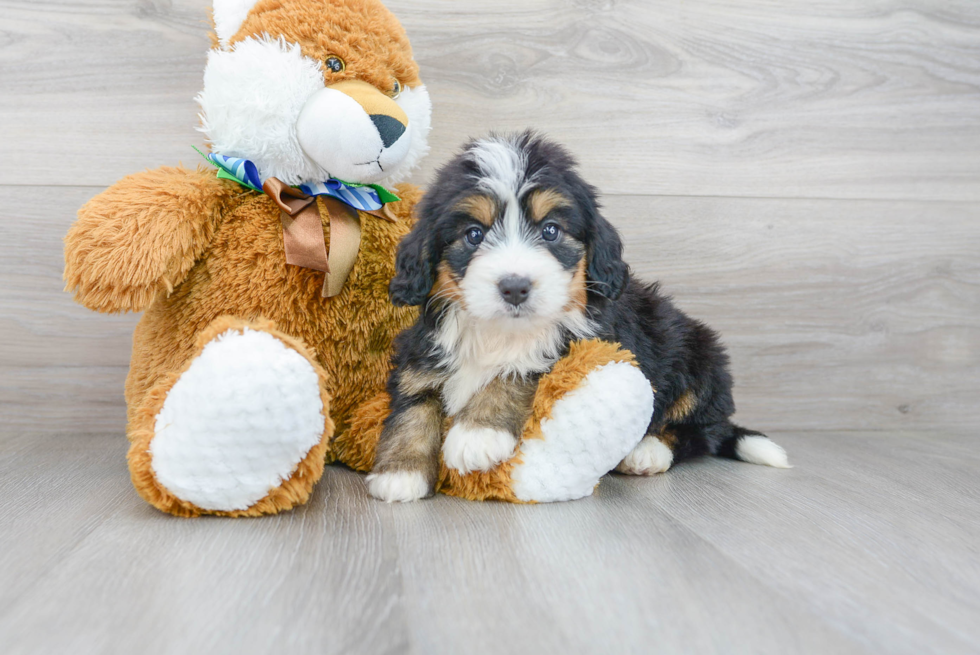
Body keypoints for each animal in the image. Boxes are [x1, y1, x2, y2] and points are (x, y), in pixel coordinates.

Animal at [368, 132, 788, 502]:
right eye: (474, 234)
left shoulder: (584, 342)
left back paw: (647, 450)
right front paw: (400, 472)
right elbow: (413, 407)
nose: (515, 287)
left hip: (699, 357)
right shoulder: (423, 351)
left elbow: (516, 372)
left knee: (699, 430)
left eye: (551, 231)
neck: (500, 332)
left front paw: (477, 434)